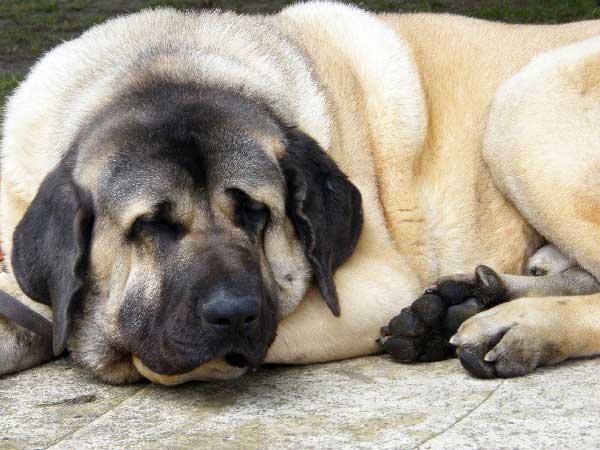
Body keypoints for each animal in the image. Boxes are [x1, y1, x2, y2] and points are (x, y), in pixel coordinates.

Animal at [3, 1, 600, 384]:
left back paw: (515, 327)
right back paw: (466, 303)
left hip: (521, 106)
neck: (161, 64)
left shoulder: (369, 288)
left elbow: (152, 360)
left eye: (256, 213)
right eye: (149, 225)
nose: (232, 313)